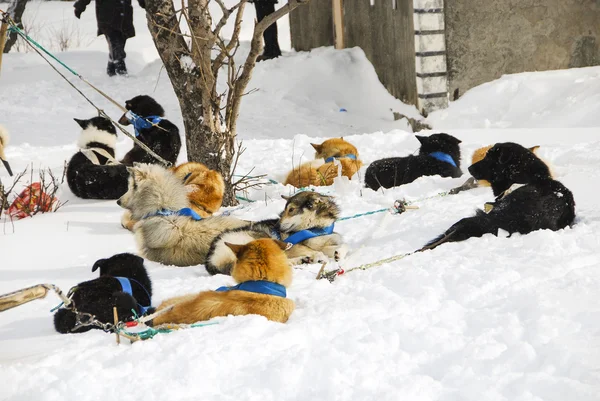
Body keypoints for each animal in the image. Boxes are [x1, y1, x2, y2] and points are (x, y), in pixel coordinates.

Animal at [206, 191, 346, 276]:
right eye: (285, 210)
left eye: (291, 210)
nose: (277, 226)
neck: (315, 228)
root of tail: (211, 257)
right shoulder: (293, 246)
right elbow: (317, 251)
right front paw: (320, 257)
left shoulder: (325, 242)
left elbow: (343, 247)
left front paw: (339, 253)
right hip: (261, 238)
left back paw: (302, 260)